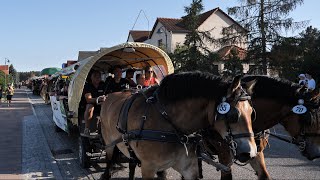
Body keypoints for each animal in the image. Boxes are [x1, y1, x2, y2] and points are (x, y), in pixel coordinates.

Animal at [101, 72, 256, 180]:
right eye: (234, 115)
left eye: (252, 113)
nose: (251, 153)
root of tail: (109, 96)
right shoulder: (148, 168)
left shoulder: (189, 169)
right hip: (109, 145)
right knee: (109, 162)